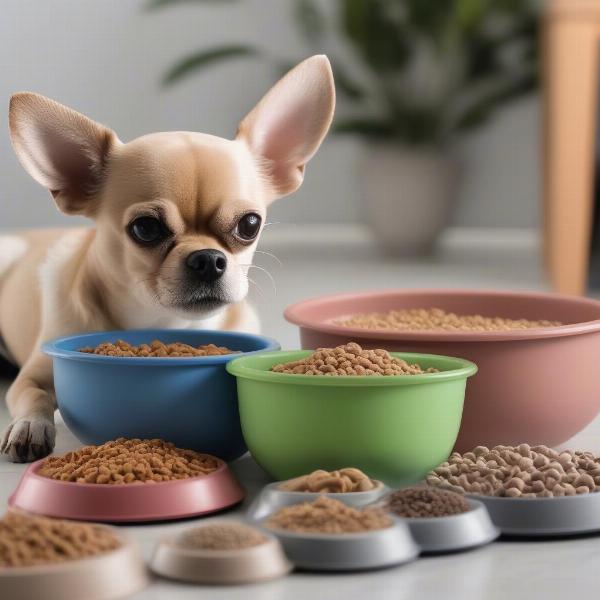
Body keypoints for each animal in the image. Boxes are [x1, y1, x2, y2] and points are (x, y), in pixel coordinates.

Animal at [0, 55, 338, 460]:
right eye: (145, 228)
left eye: (250, 224)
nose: (208, 259)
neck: (162, 319)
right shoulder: (33, 375)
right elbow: (32, 395)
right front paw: (29, 426)